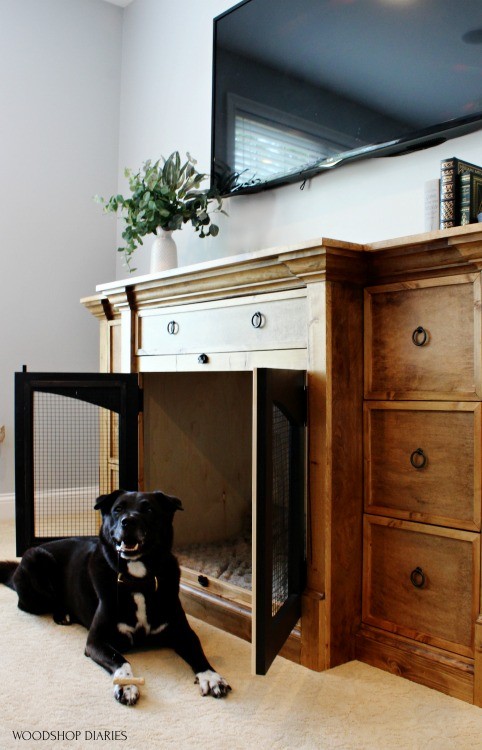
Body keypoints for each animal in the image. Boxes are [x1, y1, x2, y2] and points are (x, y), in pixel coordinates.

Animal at [0, 490, 231, 708]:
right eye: (118, 509)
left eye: (149, 509)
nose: (128, 521)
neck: (137, 581)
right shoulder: (95, 641)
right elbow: (121, 661)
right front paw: (127, 686)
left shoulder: (183, 632)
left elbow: (197, 652)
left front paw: (212, 677)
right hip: (37, 560)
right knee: (26, 604)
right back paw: (62, 613)